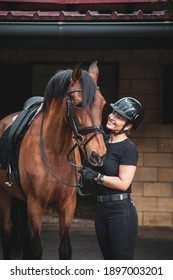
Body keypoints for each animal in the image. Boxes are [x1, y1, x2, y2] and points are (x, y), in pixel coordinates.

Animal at [0, 62, 106, 260]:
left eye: (102, 104)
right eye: (79, 104)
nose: (99, 154)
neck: (54, 152)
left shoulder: (67, 205)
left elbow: (64, 249)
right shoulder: (35, 205)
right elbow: (35, 250)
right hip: (4, 194)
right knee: (7, 233)